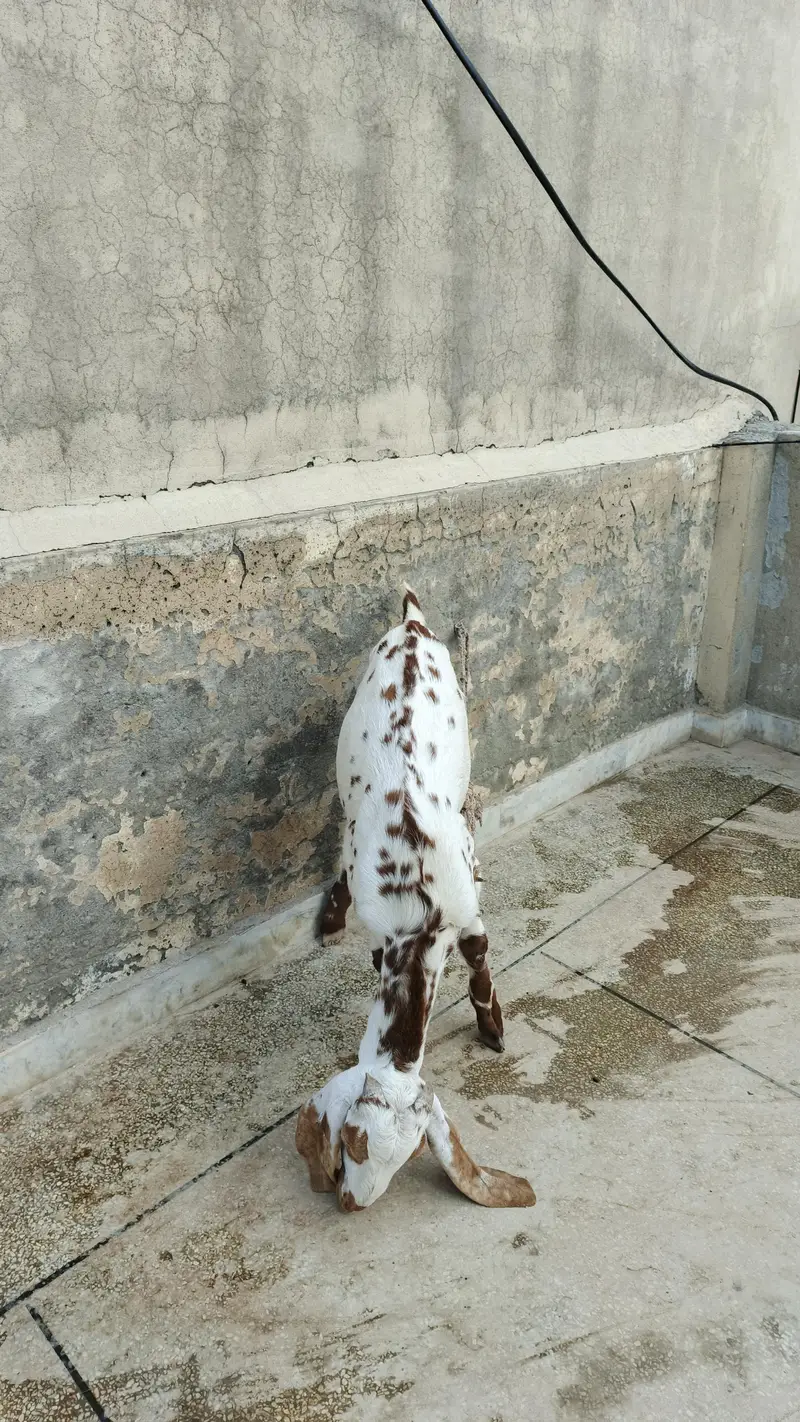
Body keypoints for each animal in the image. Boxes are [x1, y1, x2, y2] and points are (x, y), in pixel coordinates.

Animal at [296, 589, 536, 1212]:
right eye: (352, 1140)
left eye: (410, 1156)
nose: (352, 1203)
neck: (420, 918)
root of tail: (411, 625)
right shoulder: (375, 904)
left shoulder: (467, 906)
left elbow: (479, 958)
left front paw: (493, 1028)